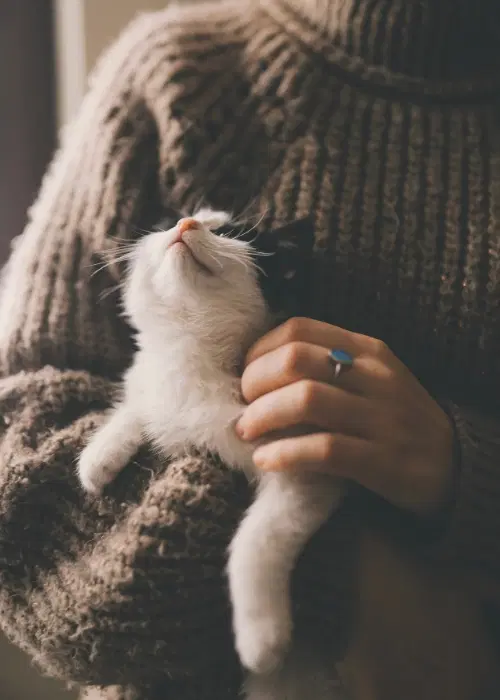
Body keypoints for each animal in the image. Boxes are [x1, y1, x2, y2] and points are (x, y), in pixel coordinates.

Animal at [77, 209, 348, 700]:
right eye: (170, 224)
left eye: (230, 232)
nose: (186, 223)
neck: (194, 351)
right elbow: (140, 399)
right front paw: (100, 455)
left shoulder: (306, 461)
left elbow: (258, 537)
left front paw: (261, 637)